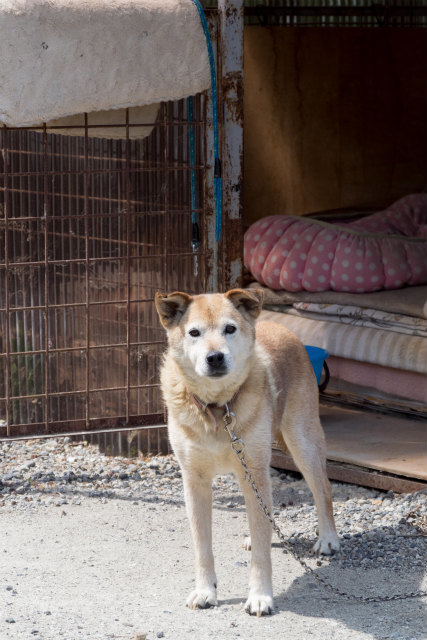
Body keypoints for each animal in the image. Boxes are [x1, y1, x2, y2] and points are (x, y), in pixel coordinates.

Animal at [155, 288, 342, 616]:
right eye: (194, 332)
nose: (215, 357)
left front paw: (260, 596)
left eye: (230, 329)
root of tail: (281, 326)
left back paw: (327, 539)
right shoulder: (195, 480)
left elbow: (262, 556)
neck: (217, 408)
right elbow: (202, 546)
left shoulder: (253, 466)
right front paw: (205, 591)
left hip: (302, 442)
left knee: (323, 488)